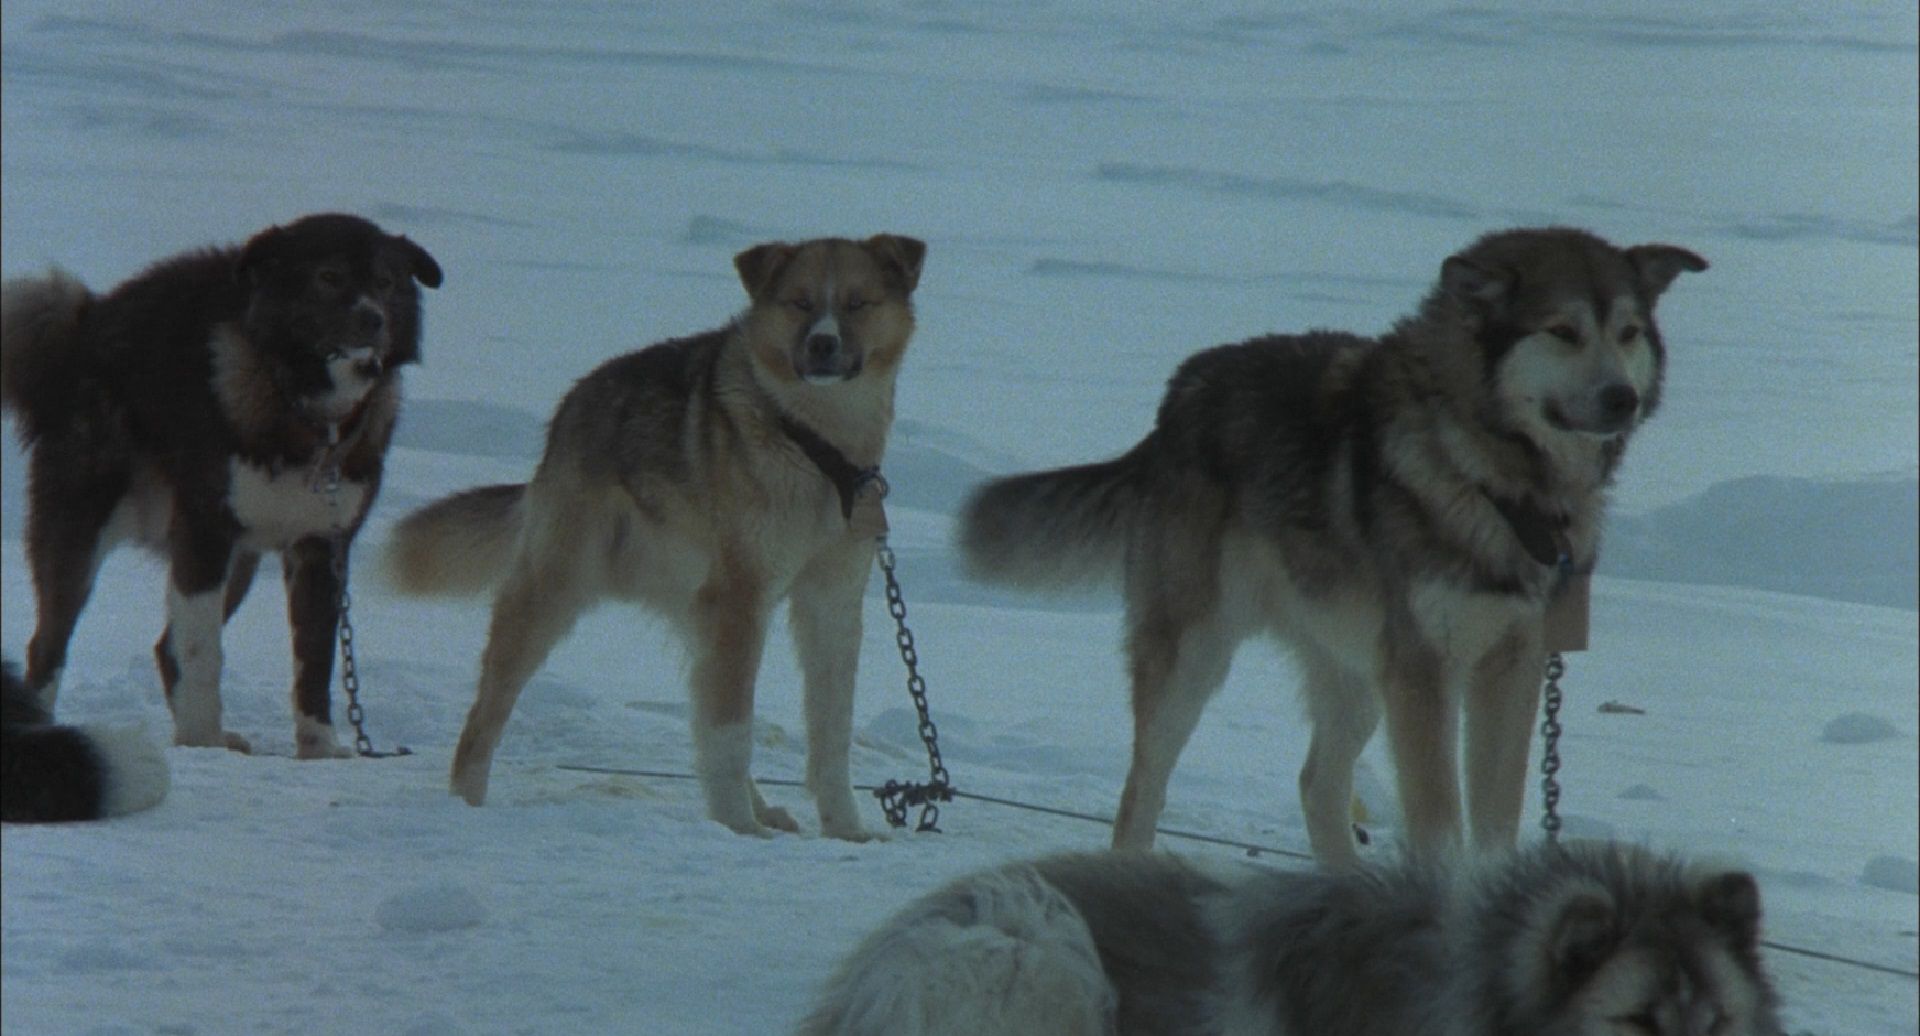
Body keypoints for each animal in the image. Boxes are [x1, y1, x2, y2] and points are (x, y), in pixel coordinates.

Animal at [1, 214, 441, 755]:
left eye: (385, 281)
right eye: (329, 276)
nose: (372, 319)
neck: (305, 410)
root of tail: (85, 325)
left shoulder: (321, 548)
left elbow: (315, 663)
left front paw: (318, 748)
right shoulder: (205, 533)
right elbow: (202, 651)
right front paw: (200, 739)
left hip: (239, 563)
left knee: (164, 647)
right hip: (81, 531)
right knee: (49, 644)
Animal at [387, 236, 921, 840]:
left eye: (857, 303)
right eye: (800, 302)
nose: (823, 344)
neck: (815, 449)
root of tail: (571, 407)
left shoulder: (830, 605)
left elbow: (829, 736)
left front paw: (844, 829)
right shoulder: (742, 598)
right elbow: (733, 731)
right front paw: (738, 826)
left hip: (692, 608)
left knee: (706, 714)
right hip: (553, 594)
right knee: (485, 715)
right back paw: (467, 801)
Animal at [960, 230, 1712, 863]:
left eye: (1628, 332)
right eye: (1562, 331)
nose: (1622, 398)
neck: (1491, 477)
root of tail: (1178, 399)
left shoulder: (1512, 664)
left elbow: (1496, 824)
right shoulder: (1422, 670)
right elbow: (1441, 829)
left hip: (1355, 675)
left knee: (1317, 784)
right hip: (1196, 657)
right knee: (1142, 789)